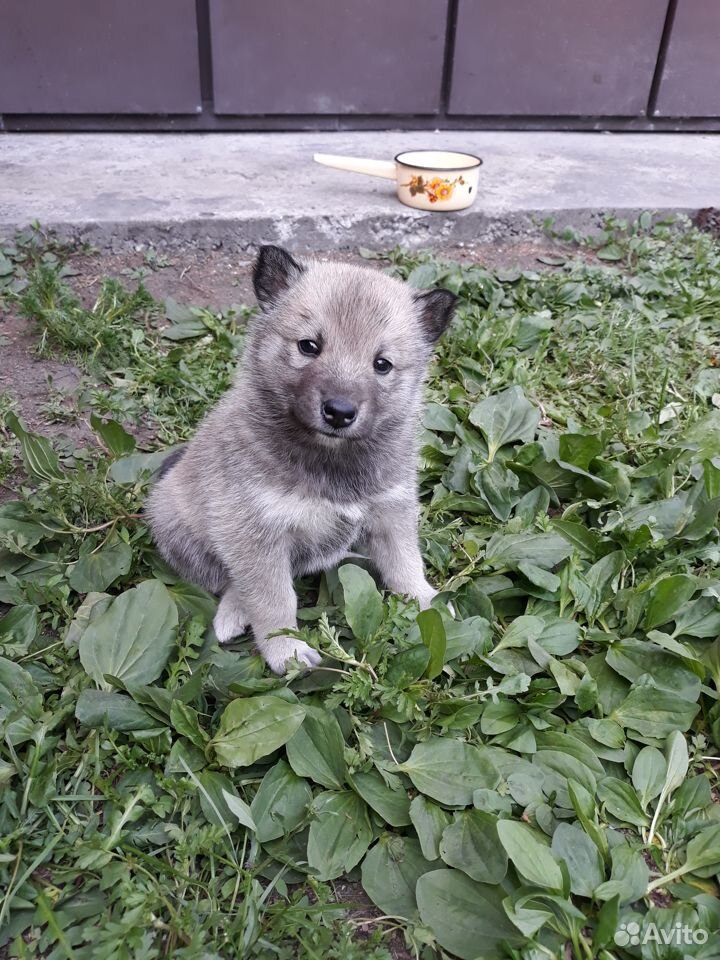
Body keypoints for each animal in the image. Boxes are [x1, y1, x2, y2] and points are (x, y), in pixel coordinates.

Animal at [145, 248, 456, 676]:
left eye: (382, 364)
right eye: (309, 346)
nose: (339, 412)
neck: (330, 459)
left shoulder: (392, 510)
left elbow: (405, 562)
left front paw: (426, 600)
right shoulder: (256, 532)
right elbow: (274, 600)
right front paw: (287, 651)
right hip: (179, 529)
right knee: (230, 580)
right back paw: (233, 611)